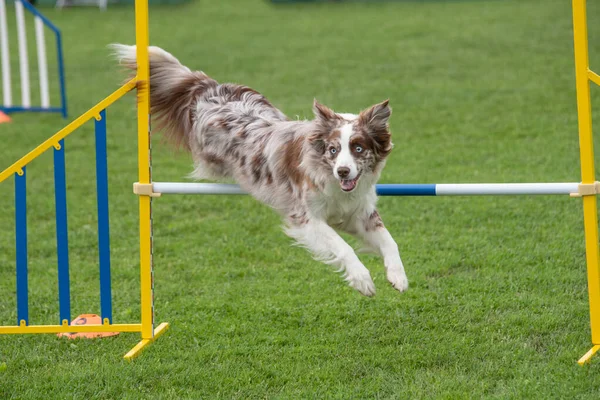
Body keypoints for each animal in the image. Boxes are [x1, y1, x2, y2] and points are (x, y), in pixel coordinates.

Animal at [113, 45, 408, 296]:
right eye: (333, 150)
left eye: (358, 148)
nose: (344, 172)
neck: (333, 184)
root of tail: (211, 88)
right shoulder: (306, 217)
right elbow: (342, 246)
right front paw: (362, 279)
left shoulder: (359, 213)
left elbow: (390, 241)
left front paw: (398, 276)